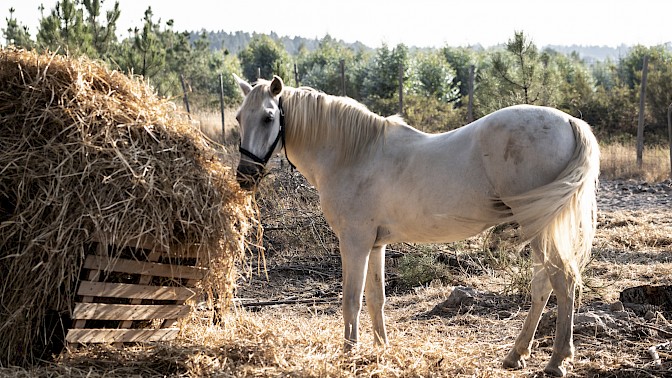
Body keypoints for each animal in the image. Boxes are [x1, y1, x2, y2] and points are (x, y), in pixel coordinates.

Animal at [235, 73, 600, 376]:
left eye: (268, 117)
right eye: (239, 117)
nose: (245, 176)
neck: (354, 153)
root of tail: (569, 121)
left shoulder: (354, 242)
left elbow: (351, 299)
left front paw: (348, 355)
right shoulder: (375, 244)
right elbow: (376, 298)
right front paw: (381, 351)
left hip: (539, 227)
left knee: (563, 282)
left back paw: (556, 361)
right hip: (540, 229)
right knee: (543, 287)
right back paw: (516, 355)